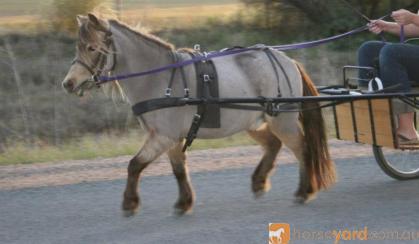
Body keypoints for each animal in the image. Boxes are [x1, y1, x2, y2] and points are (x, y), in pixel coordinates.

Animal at [62, 11, 338, 215]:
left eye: (92, 48)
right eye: (78, 47)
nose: (68, 83)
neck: (159, 77)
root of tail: (288, 61)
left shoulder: (163, 136)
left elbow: (134, 165)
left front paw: (130, 203)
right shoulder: (171, 137)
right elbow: (178, 168)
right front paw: (184, 202)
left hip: (283, 121)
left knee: (302, 149)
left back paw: (304, 191)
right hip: (253, 121)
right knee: (273, 144)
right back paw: (259, 181)